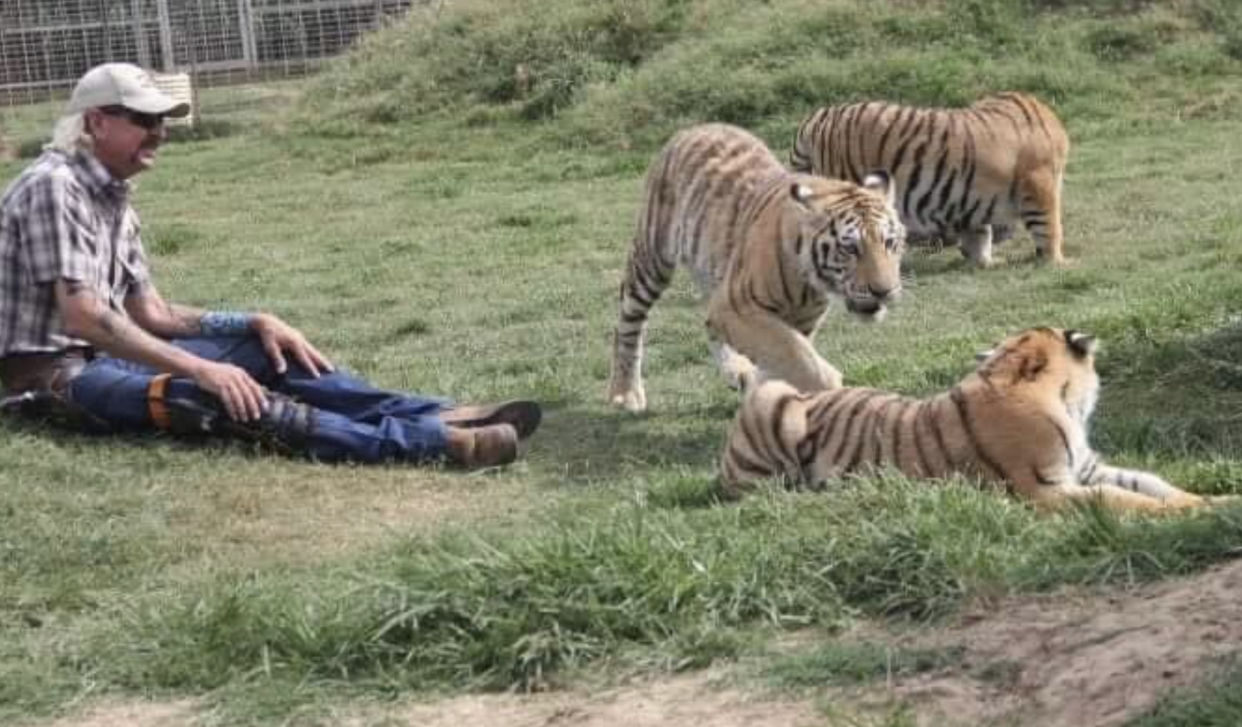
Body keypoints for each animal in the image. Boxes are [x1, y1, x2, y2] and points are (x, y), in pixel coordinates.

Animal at [608, 121, 909, 410]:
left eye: (890, 243)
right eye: (850, 249)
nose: (885, 291)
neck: (810, 284)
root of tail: (692, 128)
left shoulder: (798, 322)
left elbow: (784, 361)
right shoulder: (738, 306)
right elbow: (798, 357)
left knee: (710, 325)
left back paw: (737, 371)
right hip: (651, 260)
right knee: (628, 326)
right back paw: (625, 394)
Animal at [720, 325, 1232, 512]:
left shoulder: (1086, 468)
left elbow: (1151, 481)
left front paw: (1216, 499)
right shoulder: (1044, 488)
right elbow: (1121, 498)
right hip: (776, 402)